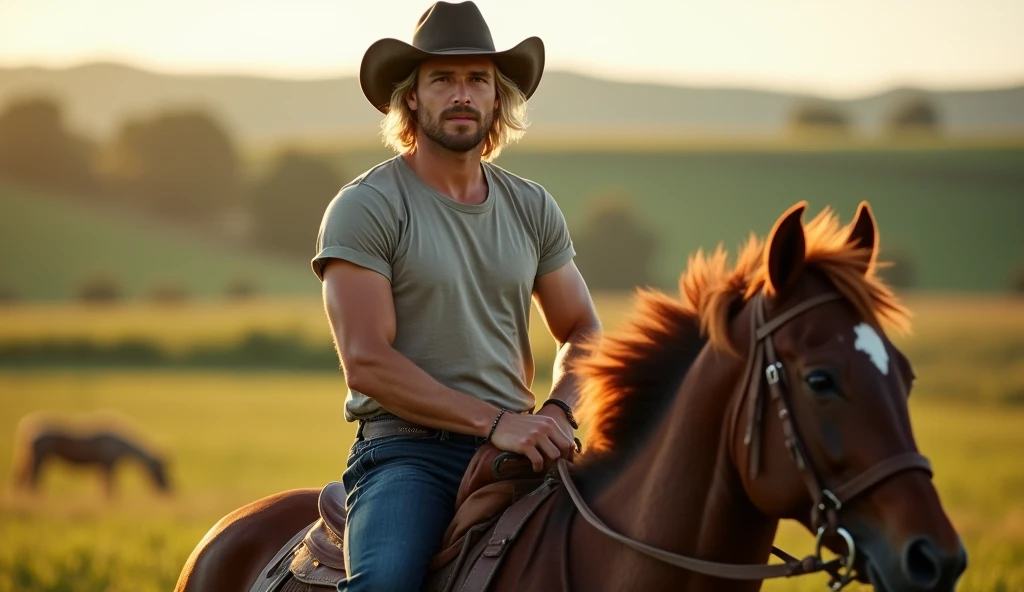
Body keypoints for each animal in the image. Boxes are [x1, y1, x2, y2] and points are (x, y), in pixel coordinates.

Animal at [12, 405, 172, 493]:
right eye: (160, 467)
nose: (170, 490)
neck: (120, 445)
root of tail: (27, 425)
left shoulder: (101, 465)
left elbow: (104, 488)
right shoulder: (108, 464)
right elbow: (110, 488)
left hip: (32, 457)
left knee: (23, 477)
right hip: (38, 458)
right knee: (32, 479)